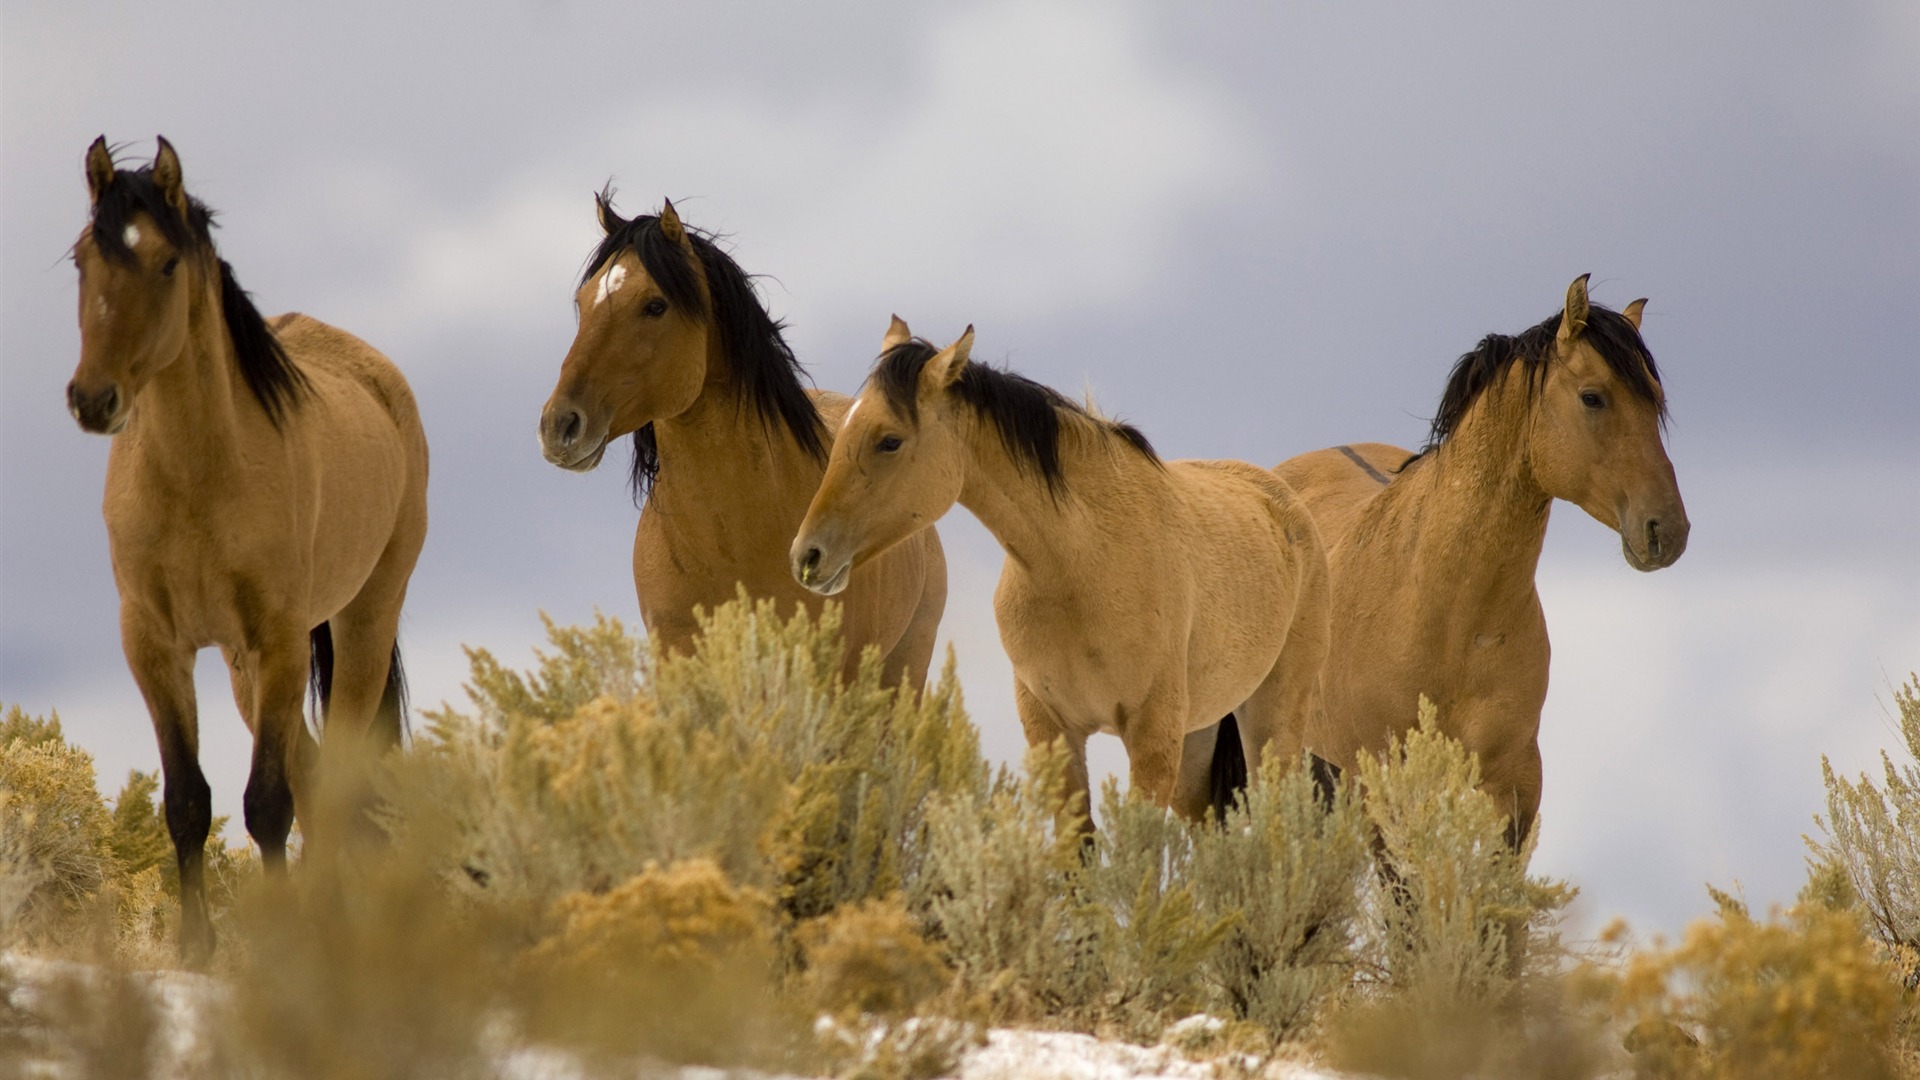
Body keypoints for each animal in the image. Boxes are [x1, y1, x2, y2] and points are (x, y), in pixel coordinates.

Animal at [67, 136, 432, 957]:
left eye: (167, 262)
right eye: (82, 257)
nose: (93, 399)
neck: (199, 476)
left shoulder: (279, 638)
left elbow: (268, 801)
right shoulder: (155, 645)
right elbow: (188, 800)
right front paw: (196, 947)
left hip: (359, 624)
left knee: (334, 782)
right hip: (244, 667)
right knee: (315, 772)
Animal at [787, 317, 1328, 814]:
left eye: (890, 440)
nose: (807, 556)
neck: (1082, 563)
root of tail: (1286, 503)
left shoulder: (1151, 737)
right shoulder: (1053, 729)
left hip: (1271, 722)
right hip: (1200, 739)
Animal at [1282, 270, 1689, 841]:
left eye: (1656, 400)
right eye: (1593, 397)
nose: (1667, 530)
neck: (1446, 615)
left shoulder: (1514, 788)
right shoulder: (1379, 787)